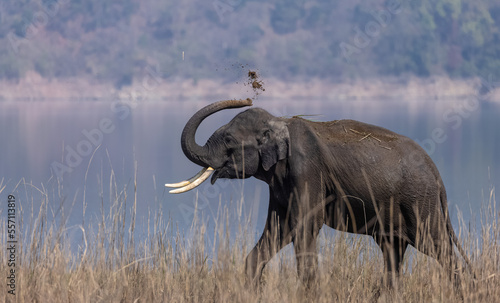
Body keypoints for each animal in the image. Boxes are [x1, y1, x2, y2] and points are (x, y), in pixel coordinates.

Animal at [166, 99, 470, 290]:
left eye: (229, 140)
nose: (246, 98)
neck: (280, 122)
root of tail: (438, 176)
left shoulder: (307, 170)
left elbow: (305, 227)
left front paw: (307, 290)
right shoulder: (280, 183)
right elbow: (279, 228)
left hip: (419, 202)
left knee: (437, 247)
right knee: (392, 251)